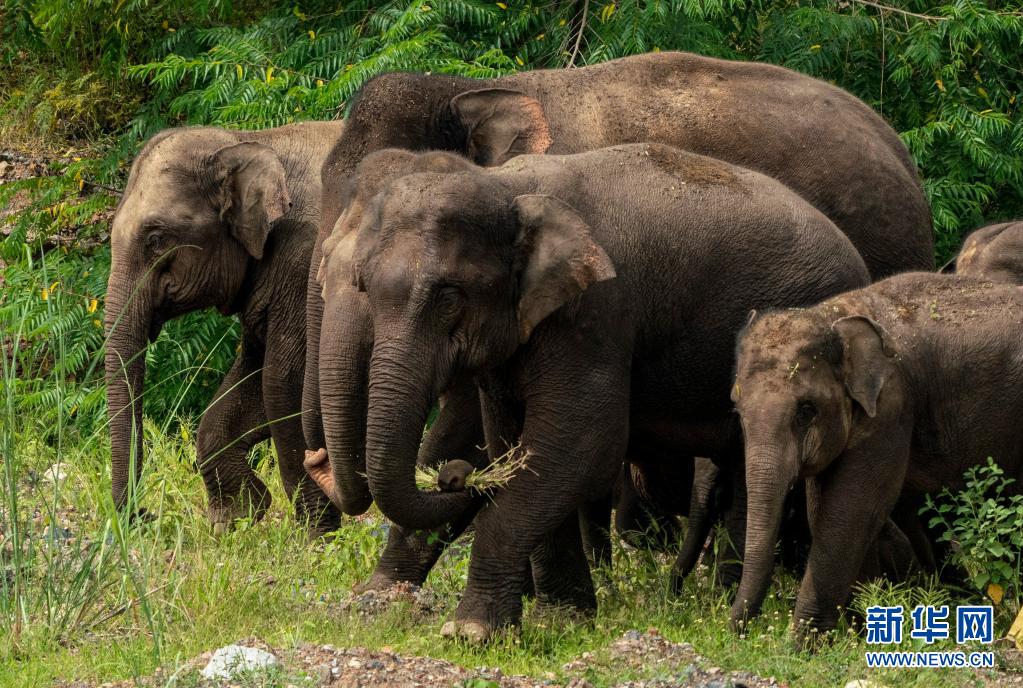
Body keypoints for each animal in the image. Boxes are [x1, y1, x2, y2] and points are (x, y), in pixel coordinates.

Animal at [104, 122, 345, 531]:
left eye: (156, 240)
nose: (144, 516)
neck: (250, 140)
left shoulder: (307, 262)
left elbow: (283, 381)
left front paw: (317, 537)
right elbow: (252, 378)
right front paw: (235, 519)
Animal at [327, 142, 871, 641]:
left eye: (449, 298)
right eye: (364, 286)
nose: (453, 477)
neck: (506, 186)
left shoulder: (598, 312)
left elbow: (582, 443)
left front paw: (472, 631)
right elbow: (514, 443)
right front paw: (564, 616)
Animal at [728, 271, 1023, 646]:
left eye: (806, 411)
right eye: (737, 410)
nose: (737, 634)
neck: (835, 315)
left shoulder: (891, 407)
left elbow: (850, 511)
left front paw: (801, 646)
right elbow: (825, 509)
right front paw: (860, 632)